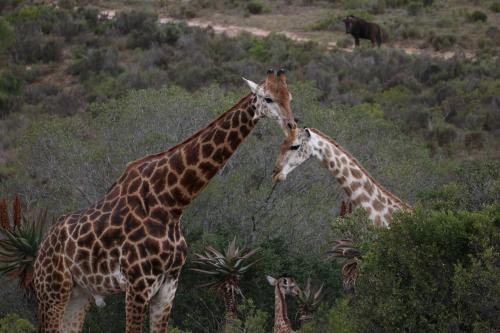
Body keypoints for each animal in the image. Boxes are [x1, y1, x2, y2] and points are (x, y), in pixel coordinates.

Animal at [30, 68, 296, 330]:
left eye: (289, 97)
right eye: (267, 98)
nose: (292, 125)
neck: (172, 203)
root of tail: (43, 244)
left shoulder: (169, 286)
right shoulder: (138, 284)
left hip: (80, 294)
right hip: (52, 290)